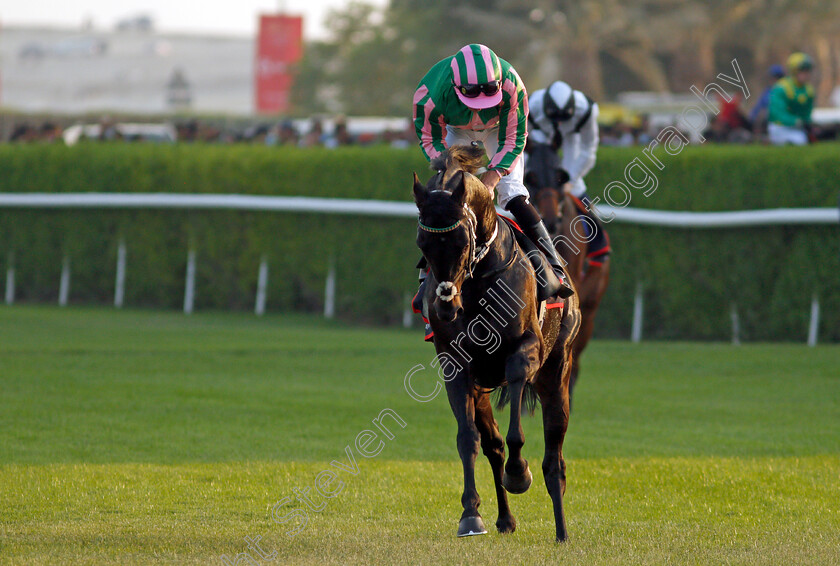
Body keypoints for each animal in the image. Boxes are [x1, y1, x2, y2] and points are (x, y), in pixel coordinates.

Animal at [412, 148, 580, 544]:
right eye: (423, 243)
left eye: (462, 241)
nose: (445, 305)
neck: (477, 284)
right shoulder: (455, 365)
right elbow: (468, 438)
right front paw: (471, 515)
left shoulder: (527, 349)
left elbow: (517, 427)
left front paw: (519, 473)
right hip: (483, 389)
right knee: (493, 446)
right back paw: (505, 519)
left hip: (558, 372)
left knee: (554, 458)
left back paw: (561, 531)